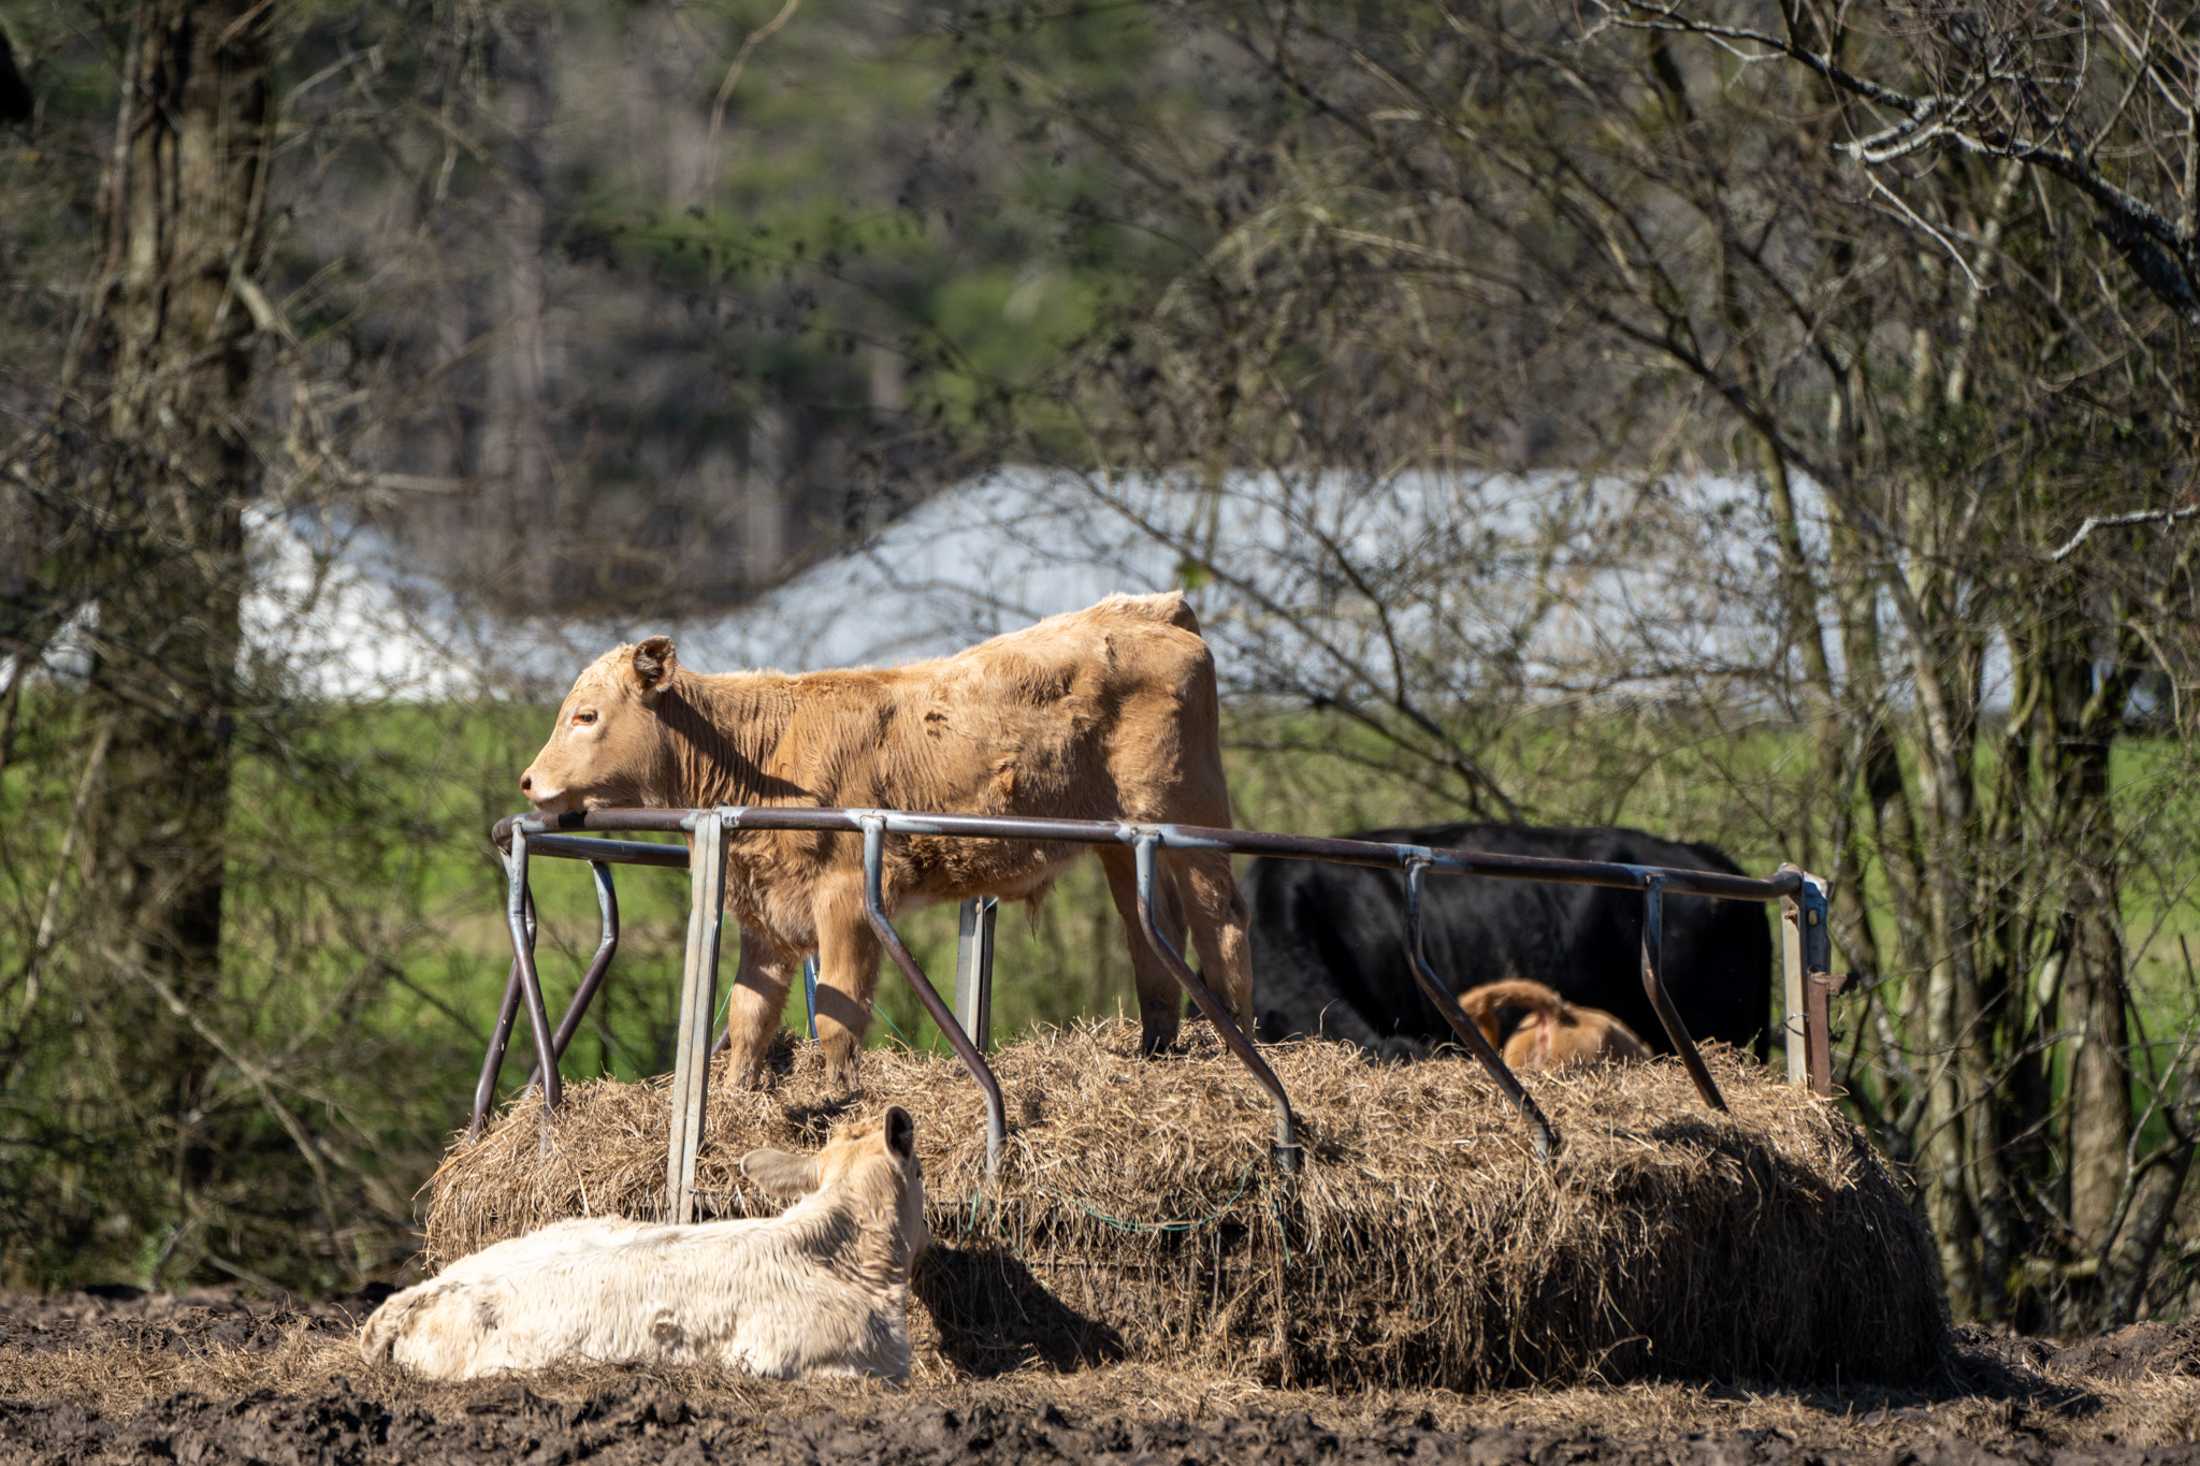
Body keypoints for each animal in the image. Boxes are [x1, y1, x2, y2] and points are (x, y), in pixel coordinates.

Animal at [519, 589, 1258, 1082]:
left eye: (586, 716)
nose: (527, 782)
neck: (765, 750)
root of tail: (1150, 608)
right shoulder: (766, 913)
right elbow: (749, 1017)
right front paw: (737, 1098)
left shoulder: (847, 896)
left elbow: (838, 1016)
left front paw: (832, 1099)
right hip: (1123, 843)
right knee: (1150, 930)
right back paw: (1156, 1050)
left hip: (1184, 813)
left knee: (1220, 924)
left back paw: (1238, 1048)